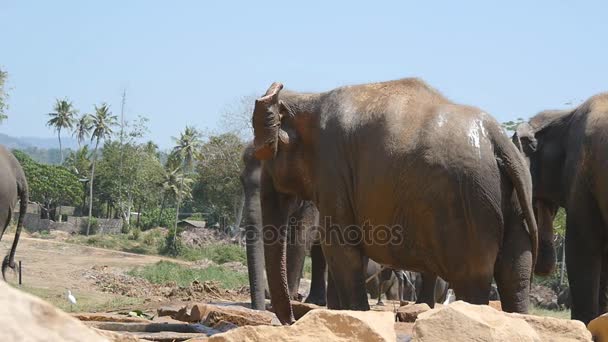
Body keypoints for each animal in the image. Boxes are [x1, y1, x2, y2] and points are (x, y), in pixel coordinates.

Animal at [252, 77, 536, 324]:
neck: (309, 98)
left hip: (468, 209)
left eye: (266, 156)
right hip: (510, 199)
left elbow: (340, 246)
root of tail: (497, 138)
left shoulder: (333, 171)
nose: (290, 319)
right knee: (515, 276)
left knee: (471, 280)